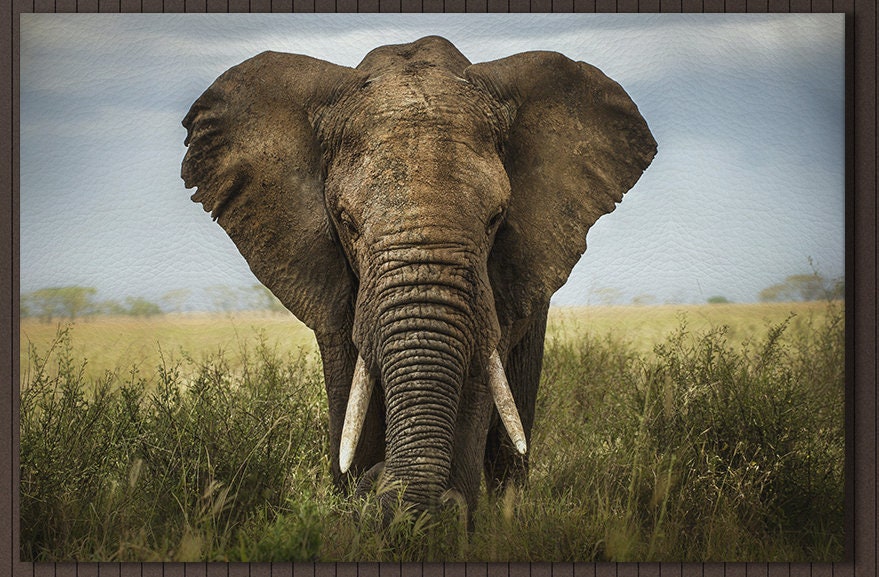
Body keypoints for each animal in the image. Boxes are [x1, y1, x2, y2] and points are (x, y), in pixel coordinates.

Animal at [181, 35, 656, 523]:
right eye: (347, 223)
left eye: (496, 219)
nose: (378, 483)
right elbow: (351, 390)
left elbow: (477, 381)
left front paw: (445, 517)